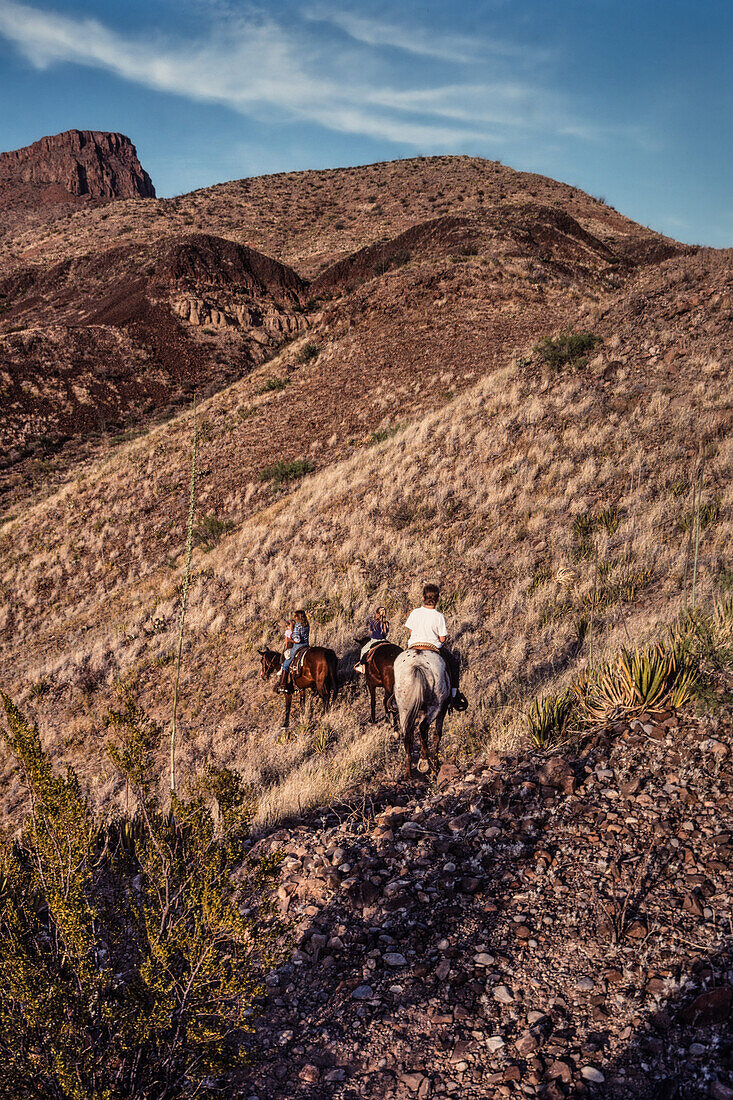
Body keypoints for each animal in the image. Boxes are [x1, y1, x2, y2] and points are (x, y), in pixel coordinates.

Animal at [394, 646, 451, 778]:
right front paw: (434, 765)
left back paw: (408, 773)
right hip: (436, 706)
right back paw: (426, 763)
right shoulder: (442, 710)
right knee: (423, 727)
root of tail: (417, 665)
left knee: (408, 734)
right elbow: (437, 735)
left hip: (404, 708)